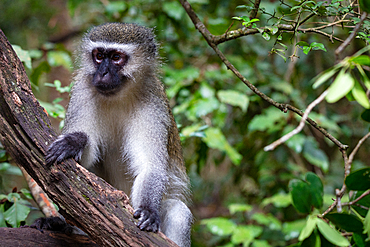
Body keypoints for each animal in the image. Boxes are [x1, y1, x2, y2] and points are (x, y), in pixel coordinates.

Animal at [44, 23, 192, 247]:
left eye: (115, 57)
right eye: (98, 56)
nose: (102, 72)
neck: (118, 96)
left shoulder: (152, 103)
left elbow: (150, 166)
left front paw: (148, 210)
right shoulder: (82, 90)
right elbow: (81, 166)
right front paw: (74, 142)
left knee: (179, 212)